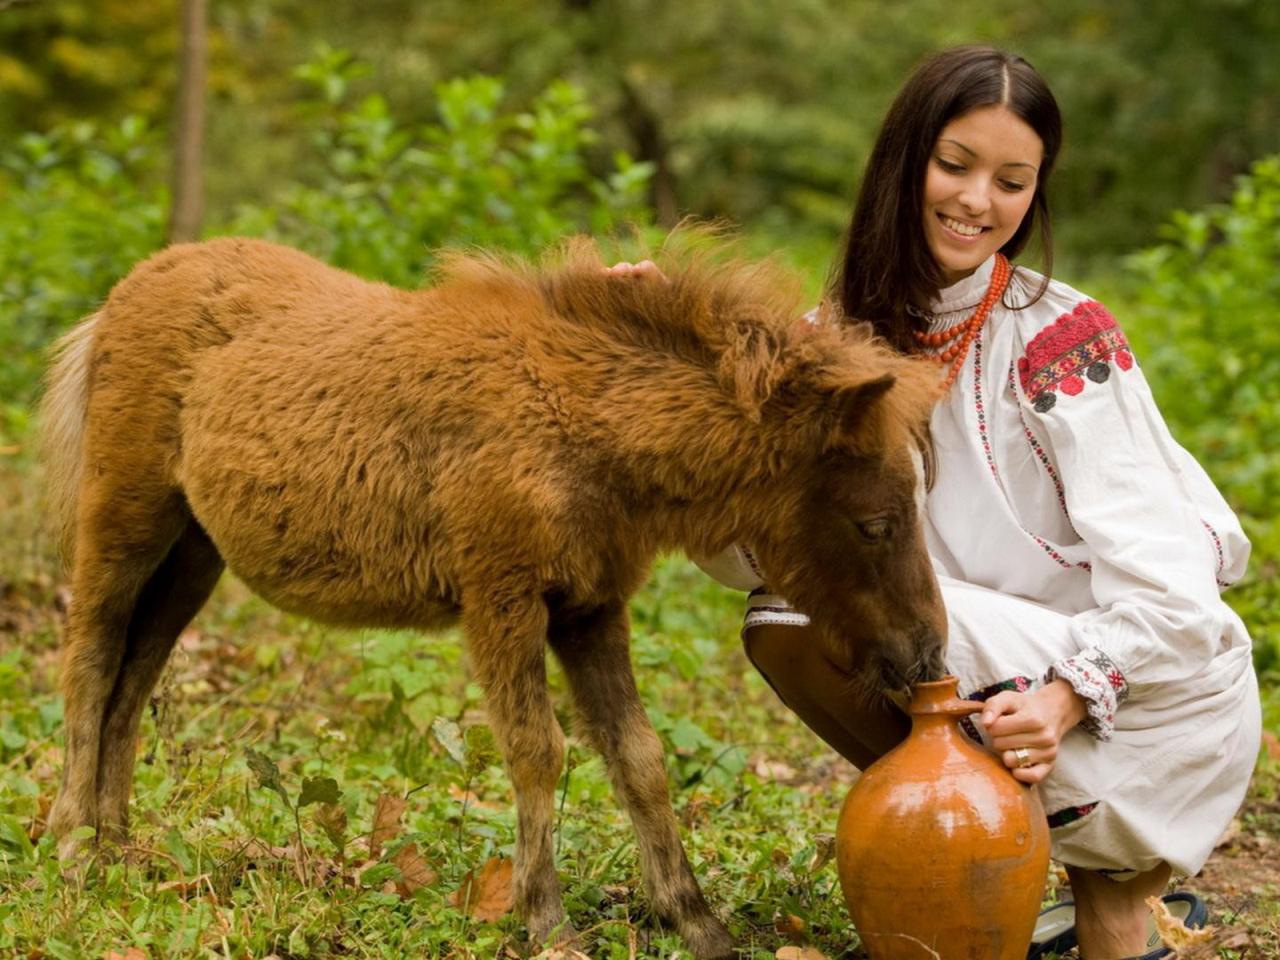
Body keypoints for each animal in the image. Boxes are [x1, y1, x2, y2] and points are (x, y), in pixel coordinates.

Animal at [40, 232, 947, 960]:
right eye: (875, 521)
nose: (926, 652)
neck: (581, 427)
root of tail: (127, 290)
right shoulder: (500, 598)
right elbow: (538, 750)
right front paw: (545, 920)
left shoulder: (590, 608)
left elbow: (640, 757)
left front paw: (696, 922)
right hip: (126, 518)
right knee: (89, 661)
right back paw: (72, 849)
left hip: (195, 552)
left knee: (134, 678)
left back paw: (118, 846)